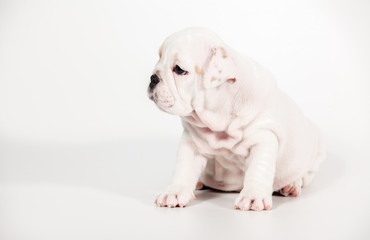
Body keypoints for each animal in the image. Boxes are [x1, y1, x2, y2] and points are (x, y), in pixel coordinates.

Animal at [147, 27, 324, 210]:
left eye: (180, 70)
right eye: (159, 59)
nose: (153, 78)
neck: (219, 115)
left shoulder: (263, 138)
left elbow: (258, 169)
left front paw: (253, 196)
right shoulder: (191, 141)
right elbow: (184, 167)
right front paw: (174, 192)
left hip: (316, 150)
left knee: (305, 175)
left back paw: (291, 185)